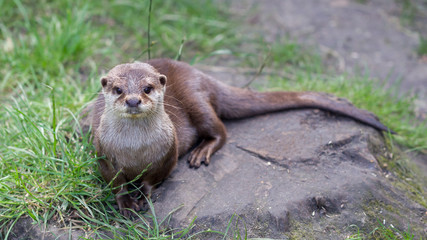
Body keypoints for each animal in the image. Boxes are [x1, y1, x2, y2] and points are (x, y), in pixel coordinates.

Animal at [83, 57, 394, 216]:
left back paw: (202, 151)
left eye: (147, 88)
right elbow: (115, 182)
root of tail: (202, 75)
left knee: (221, 131)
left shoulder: (168, 152)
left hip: (196, 100)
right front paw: (126, 202)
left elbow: (156, 176)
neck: (135, 151)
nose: (133, 100)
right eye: (118, 89)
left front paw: (144, 195)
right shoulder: (102, 153)